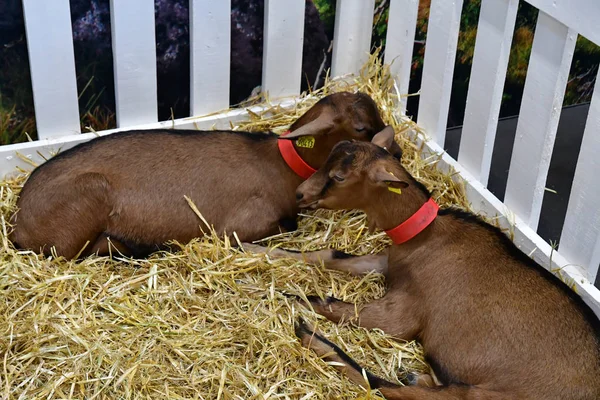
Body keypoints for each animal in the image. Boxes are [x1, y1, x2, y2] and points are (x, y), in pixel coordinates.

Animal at [9, 92, 400, 258]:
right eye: (361, 128)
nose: (396, 152)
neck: (281, 164)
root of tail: (18, 223)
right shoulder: (239, 226)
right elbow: (287, 226)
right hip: (87, 200)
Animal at [248, 128, 600, 400]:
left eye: (338, 176)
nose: (300, 193)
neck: (427, 235)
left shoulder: (404, 312)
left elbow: (331, 304)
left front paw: (268, 293)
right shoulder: (391, 262)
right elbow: (331, 256)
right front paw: (257, 251)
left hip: (483, 395)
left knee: (390, 387)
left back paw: (310, 336)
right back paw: (416, 375)